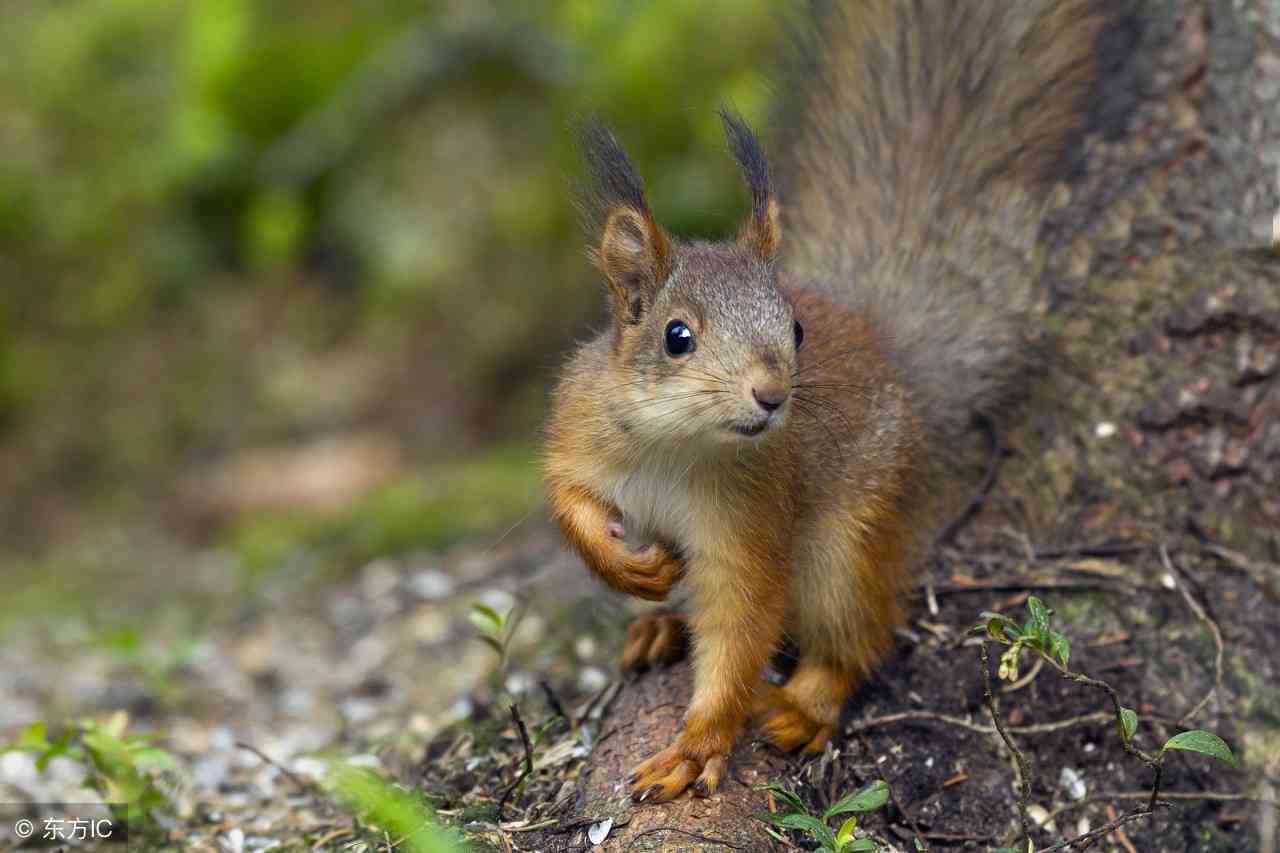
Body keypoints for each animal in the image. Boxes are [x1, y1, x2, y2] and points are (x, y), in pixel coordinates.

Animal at [540, 0, 1100, 799]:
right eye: (677, 337)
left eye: (795, 327)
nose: (775, 396)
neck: (674, 444)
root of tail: (891, 357)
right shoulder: (581, 424)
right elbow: (567, 499)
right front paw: (625, 568)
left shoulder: (751, 519)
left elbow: (742, 626)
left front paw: (698, 744)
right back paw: (661, 624)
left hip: (847, 546)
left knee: (856, 640)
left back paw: (802, 706)